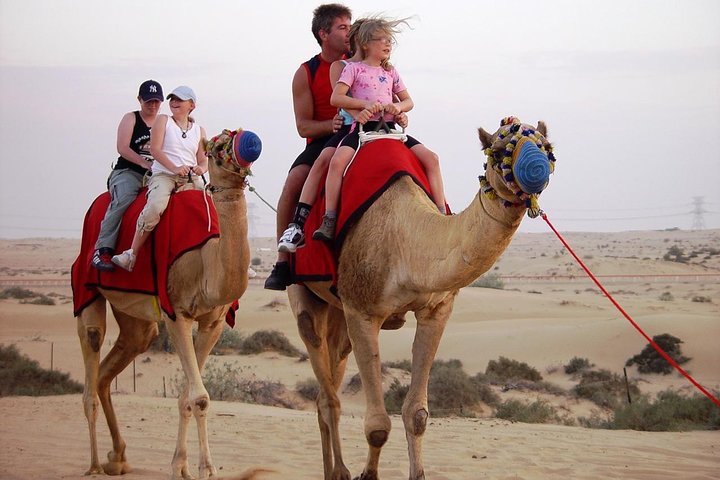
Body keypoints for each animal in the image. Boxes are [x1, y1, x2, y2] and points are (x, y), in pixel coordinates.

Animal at [75, 129, 257, 479]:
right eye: (216, 147)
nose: (249, 143)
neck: (206, 260)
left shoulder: (213, 322)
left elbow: (188, 396)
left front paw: (182, 466)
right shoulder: (177, 313)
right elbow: (199, 397)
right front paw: (206, 469)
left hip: (136, 317)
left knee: (113, 365)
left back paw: (118, 457)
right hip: (86, 288)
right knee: (91, 358)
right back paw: (93, 465)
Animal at [288, 117, 555, 480]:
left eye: (546, 146)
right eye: (499, 150)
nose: (536, 169)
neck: (407, 241)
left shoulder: (436, 309)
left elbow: (417, 415)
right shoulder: (362, 310)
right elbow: (377, 426)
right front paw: (366, 474)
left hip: (337, 313)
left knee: (326, 384)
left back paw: (332, 470)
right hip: (306, 294)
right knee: (327, 390)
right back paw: (340, 471)